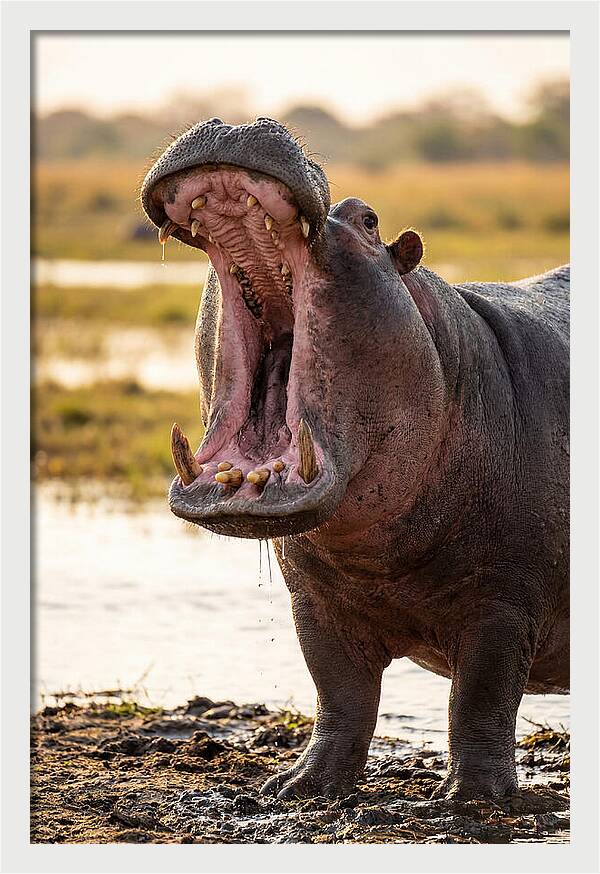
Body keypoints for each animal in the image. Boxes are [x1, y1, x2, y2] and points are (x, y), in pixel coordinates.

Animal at [141, 117, 569, 800]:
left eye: (368, 220)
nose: (237, 122)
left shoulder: (504, 605)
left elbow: (481, 699)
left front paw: (474, 800)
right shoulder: (314, 602)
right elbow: (339, 693)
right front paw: (300, 787)